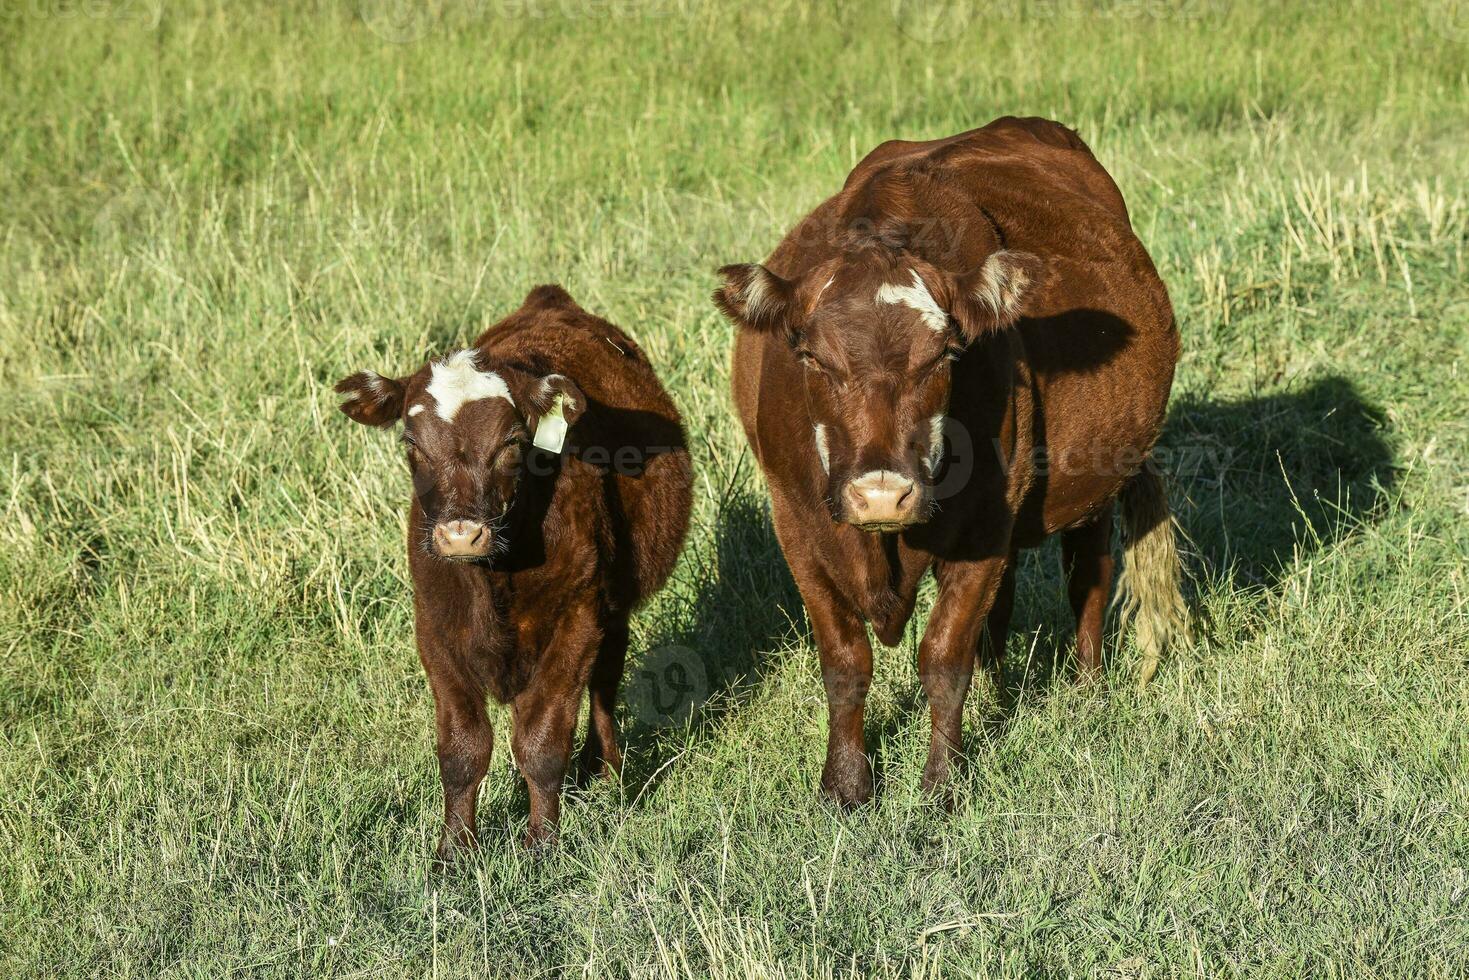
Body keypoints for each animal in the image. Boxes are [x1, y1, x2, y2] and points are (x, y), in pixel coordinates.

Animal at [337, 283, 693, 852]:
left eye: (511, 442)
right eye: (412, 443)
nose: (461, 534)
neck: (494, 575)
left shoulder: (578, 617)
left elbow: (541, 742)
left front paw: (541, 846)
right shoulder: (434, 627)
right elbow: (462, 749)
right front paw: (454, 850)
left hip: (614, 605)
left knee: (604, 682)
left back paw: (607, 770)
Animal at [713, 119, 1192, 805]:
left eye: (944, 354)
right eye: (809, 356)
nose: (882, 494)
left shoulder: (986, 525)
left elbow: (943, 654)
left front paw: (942, 783)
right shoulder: (796, 525)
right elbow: (844, 660)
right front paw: (846, 784)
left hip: (1097, 483)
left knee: (1088, 576)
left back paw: (1087, 692)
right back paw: (1001, 690)